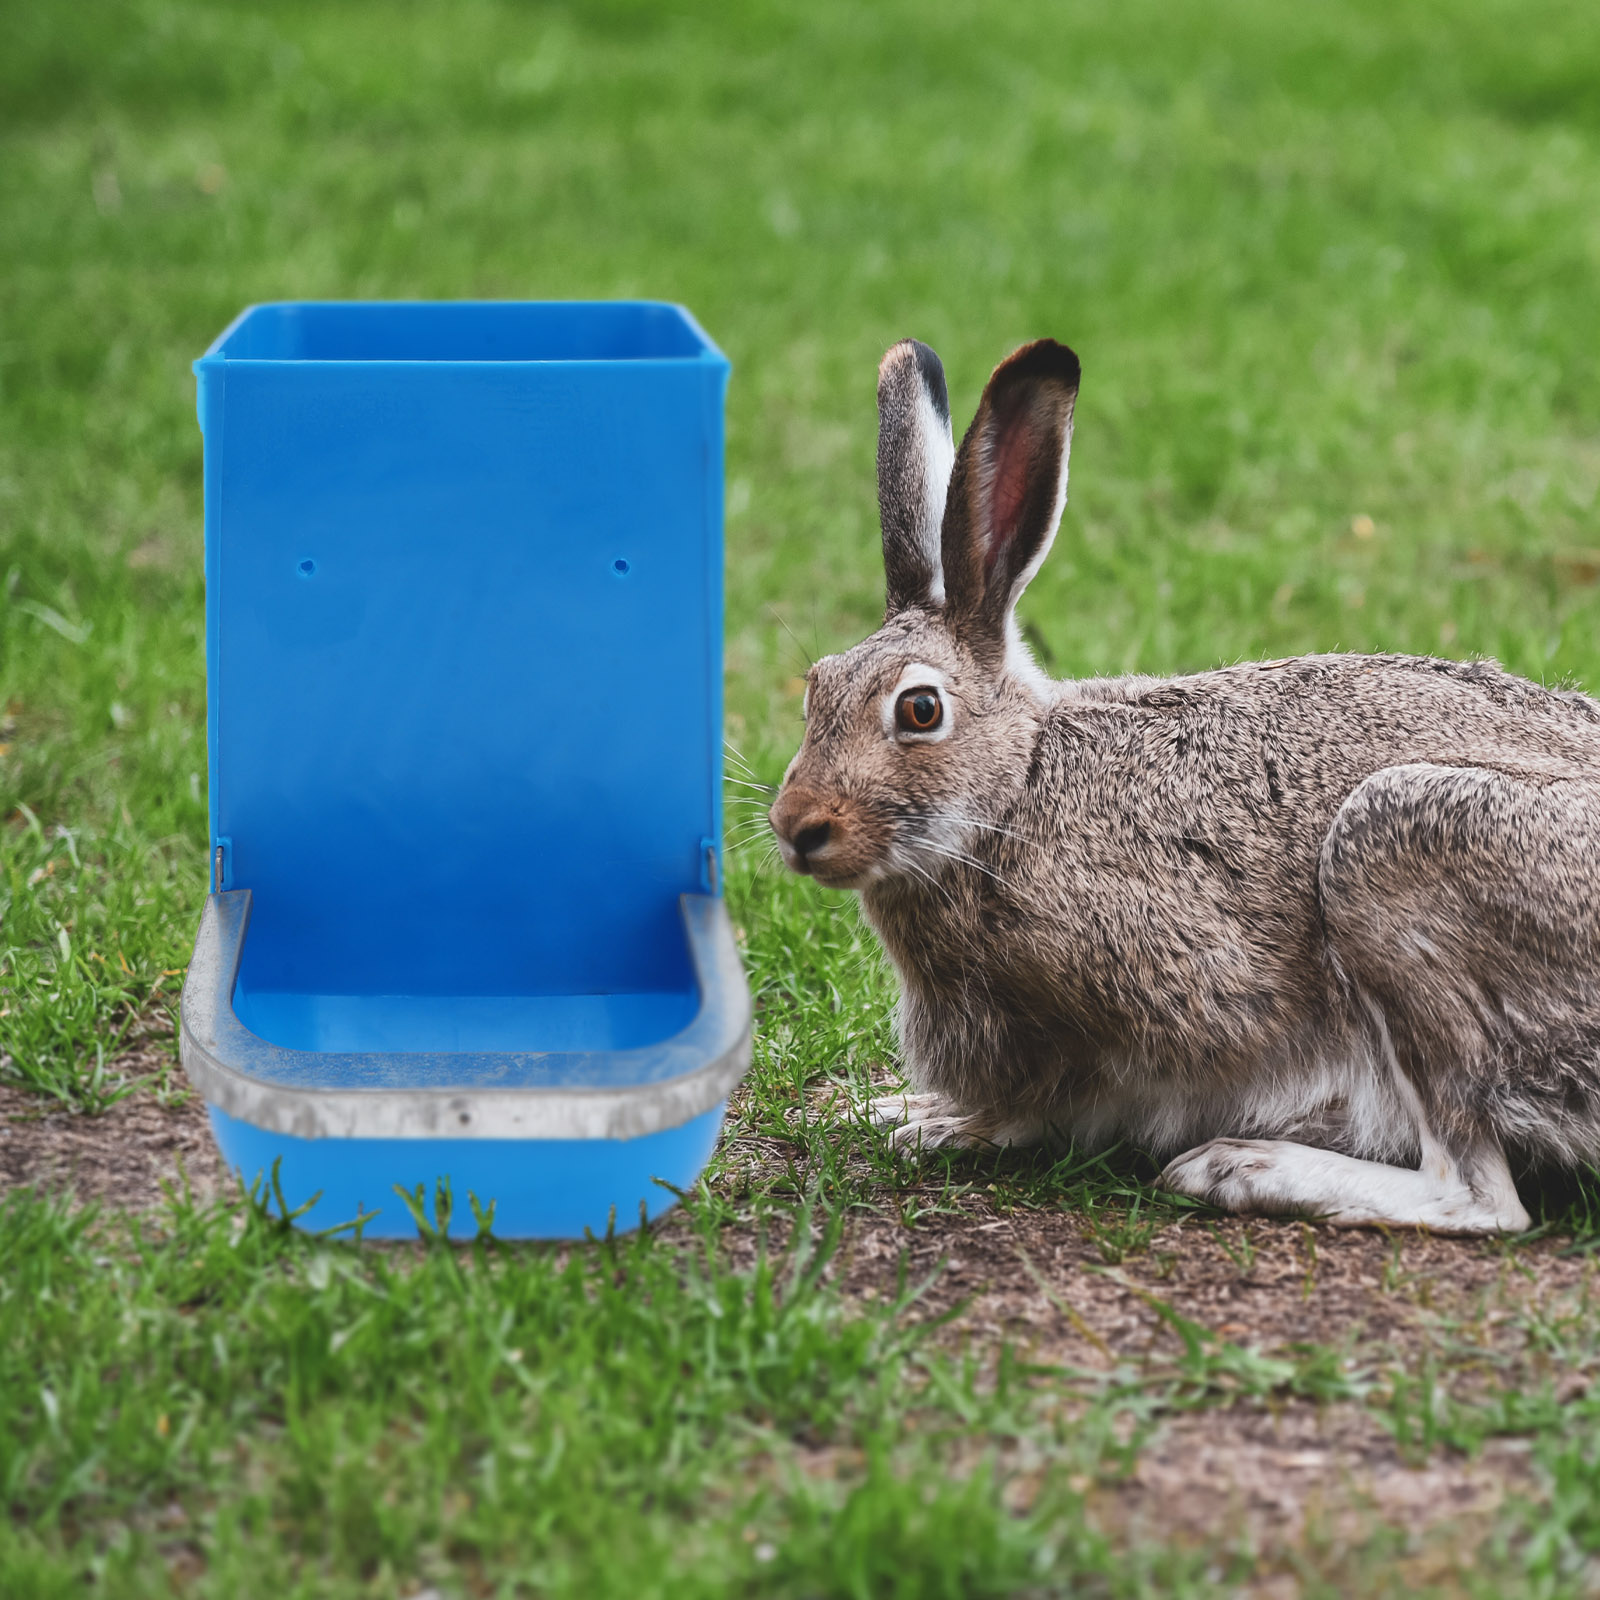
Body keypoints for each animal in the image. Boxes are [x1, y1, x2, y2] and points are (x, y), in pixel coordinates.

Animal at [767, 335, 1600, 1234]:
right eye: (815, 688)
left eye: (920, 710)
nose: (796, 826)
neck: (1013, 792)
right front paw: (901, 1109)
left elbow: (1053, 1106)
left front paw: (940, 1124)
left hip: (1393, 849)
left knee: (1479, 1194)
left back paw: (1240, 1167)